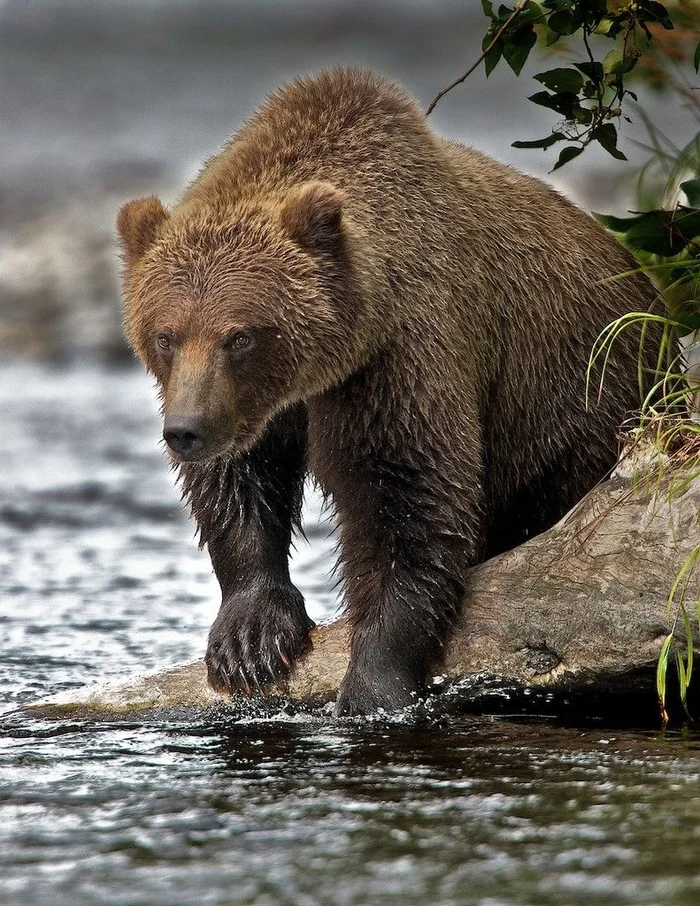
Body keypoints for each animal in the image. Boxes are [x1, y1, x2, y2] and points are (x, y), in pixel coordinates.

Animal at [117, 69, 660, 712]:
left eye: (240, 336)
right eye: (166, 335)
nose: (186, 431)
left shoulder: (398, 358)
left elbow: (407, 498)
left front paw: (371, 686)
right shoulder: (261, 407)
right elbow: (240, 483)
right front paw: (250, 640)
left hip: (581, 413)